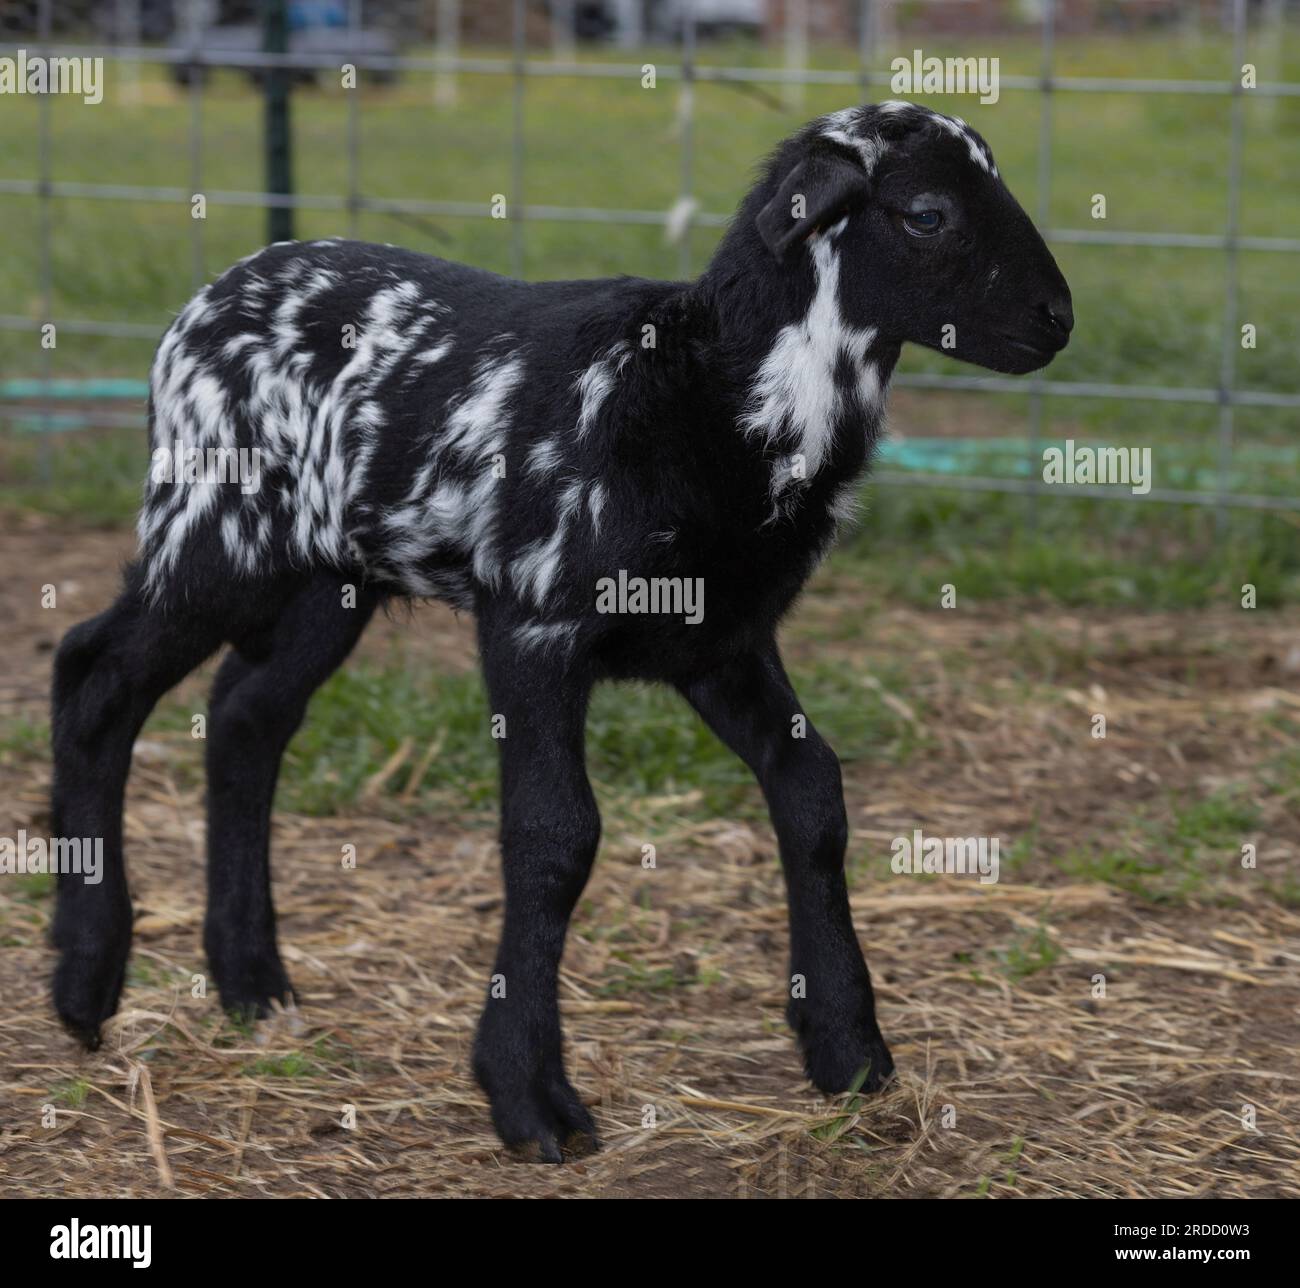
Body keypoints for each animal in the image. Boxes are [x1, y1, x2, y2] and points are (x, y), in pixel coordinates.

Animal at [49, 100, 1072, 1162]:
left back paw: (250, 982)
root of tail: (206, 301)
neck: (709, 389)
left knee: (247, 717)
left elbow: (813, 793)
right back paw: (86, 982)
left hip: (327, 581)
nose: (1057, 320)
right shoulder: (534, 623)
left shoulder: (722, 641)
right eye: (927, 213)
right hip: (212, 532)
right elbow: (555, 835)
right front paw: (530, 1097)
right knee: (94, 675)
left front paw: (847, 1048)